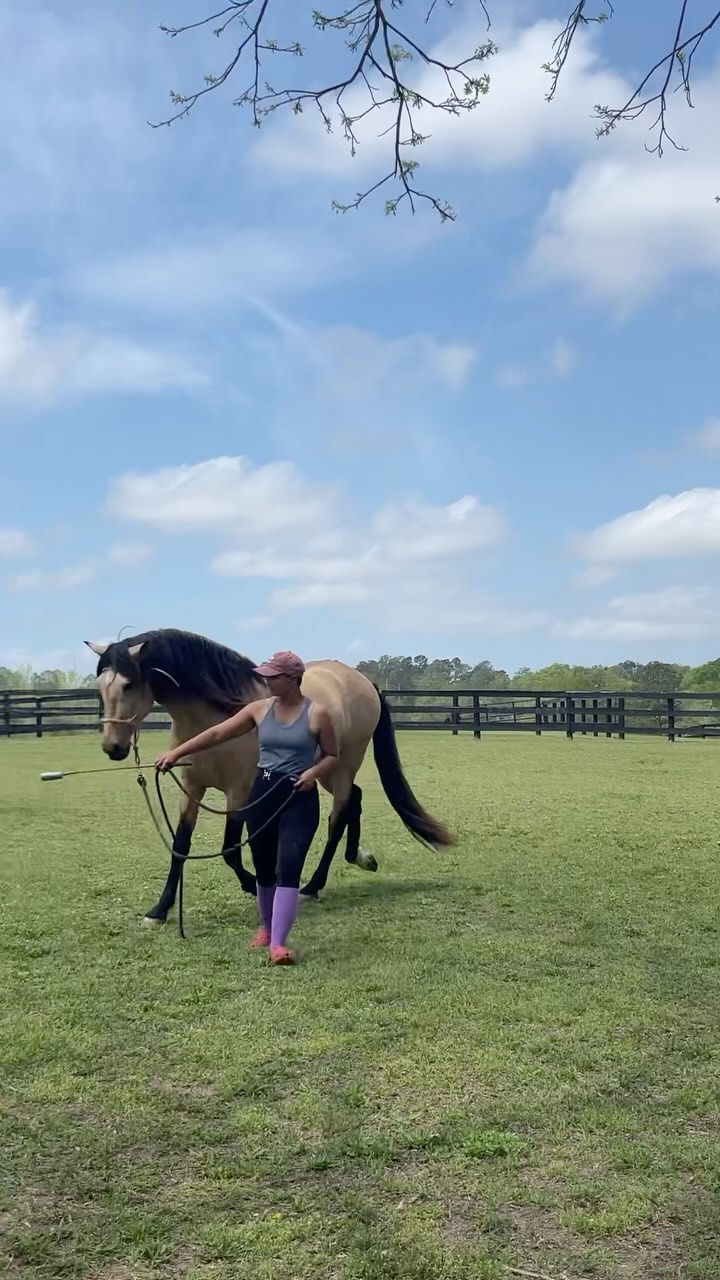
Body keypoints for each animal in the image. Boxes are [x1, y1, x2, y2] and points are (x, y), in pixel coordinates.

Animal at [86, 628, 455, 924]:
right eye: (101, 686)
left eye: (128, 684)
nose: (113, 747)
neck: (216, 715)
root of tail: (361, 680)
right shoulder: (192, 788)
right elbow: (180, 846)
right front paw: (159, 910)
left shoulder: (238, 792)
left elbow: (230, 851)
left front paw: (257, 885)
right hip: (326, 771)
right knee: (356, 799)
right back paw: (361, 858)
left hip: (342, 766)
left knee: (337, 818)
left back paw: (312, 885)